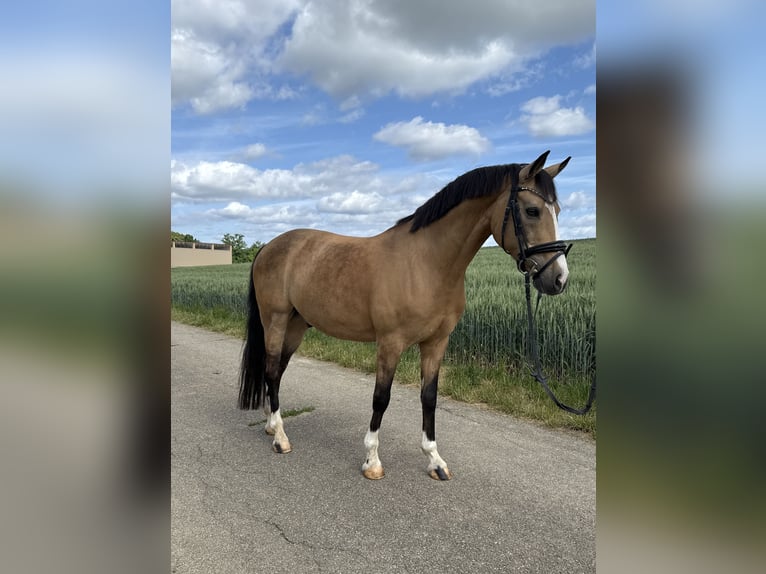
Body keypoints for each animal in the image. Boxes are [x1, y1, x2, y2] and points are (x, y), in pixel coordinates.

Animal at [239, 150, 571, 480]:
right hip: (276, 320)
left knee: (277, 372)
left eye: (557, 210)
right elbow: (381, 397)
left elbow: (429, 397)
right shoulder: (390, 343)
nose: (558, 279)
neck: (427, 263)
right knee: (271, 371)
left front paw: (435, 461)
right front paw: (372, 461)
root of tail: (269, 246)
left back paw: (271, 426)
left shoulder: (436, 343)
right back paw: (281, 438)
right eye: (532, 211)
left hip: (296, 325)